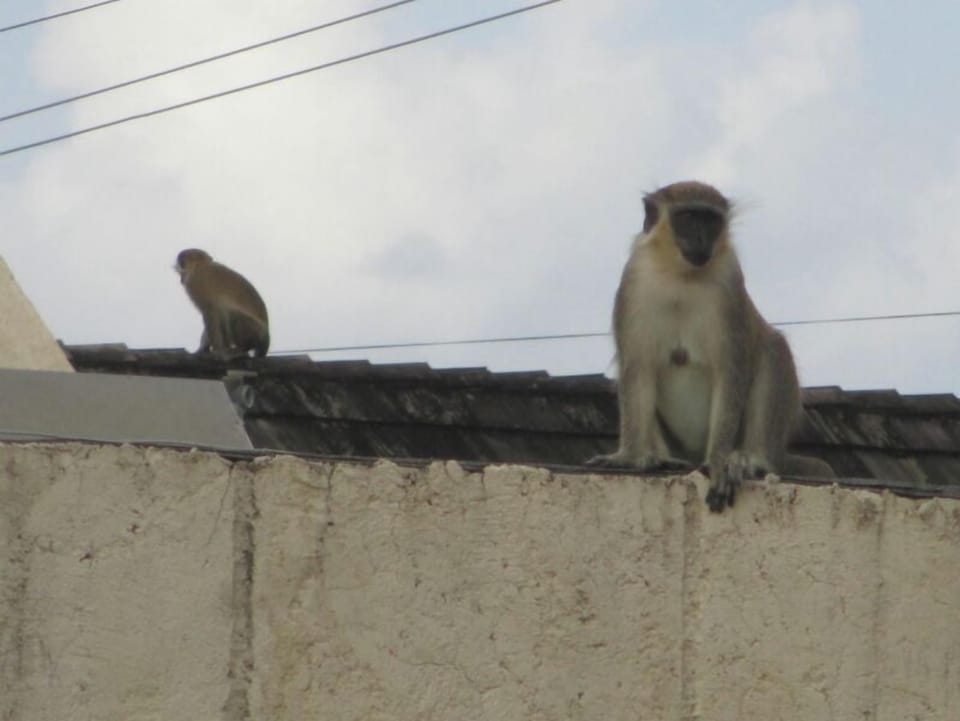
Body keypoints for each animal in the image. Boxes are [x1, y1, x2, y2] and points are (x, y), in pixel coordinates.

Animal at [588, 181, 834, 512]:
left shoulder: (729, 281)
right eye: (688, 218)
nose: (701, 239)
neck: (680, 275)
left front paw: (719, 462)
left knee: (773, 348)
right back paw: (662, 459)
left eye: (711, 220)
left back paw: (752, 459)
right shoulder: (634, 280)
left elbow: (730, 371)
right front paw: (628, 457)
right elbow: (637, 369)